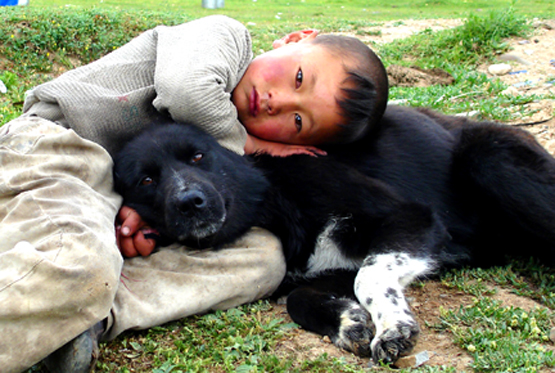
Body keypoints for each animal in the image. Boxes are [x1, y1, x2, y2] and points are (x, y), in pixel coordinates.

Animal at [112, 104, 555, 364]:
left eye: (198, 156)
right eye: (147, 180)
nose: (189, 202)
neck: (275, 196)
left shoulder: (413, 217)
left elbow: (370, 277)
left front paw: (392, 325)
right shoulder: (324, 267)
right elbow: (300, 298)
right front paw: (347, 322)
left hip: (492, 159)